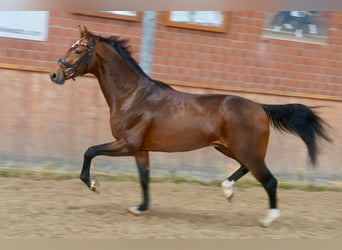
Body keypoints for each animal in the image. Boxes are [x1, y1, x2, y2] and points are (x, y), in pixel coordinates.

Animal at [49, 25, 330, 227]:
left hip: (246, 151)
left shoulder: (127, 144)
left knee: (269, 180)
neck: (133, 96)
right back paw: (228, 190)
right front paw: (140, 208)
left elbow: (90, 151)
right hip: (229, 148)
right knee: (247, 169)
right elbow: (144, 178)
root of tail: (260, 107)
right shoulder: (141, 150)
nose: (55, 74)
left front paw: (94, 185)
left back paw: (268, 219)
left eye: (78, 50)